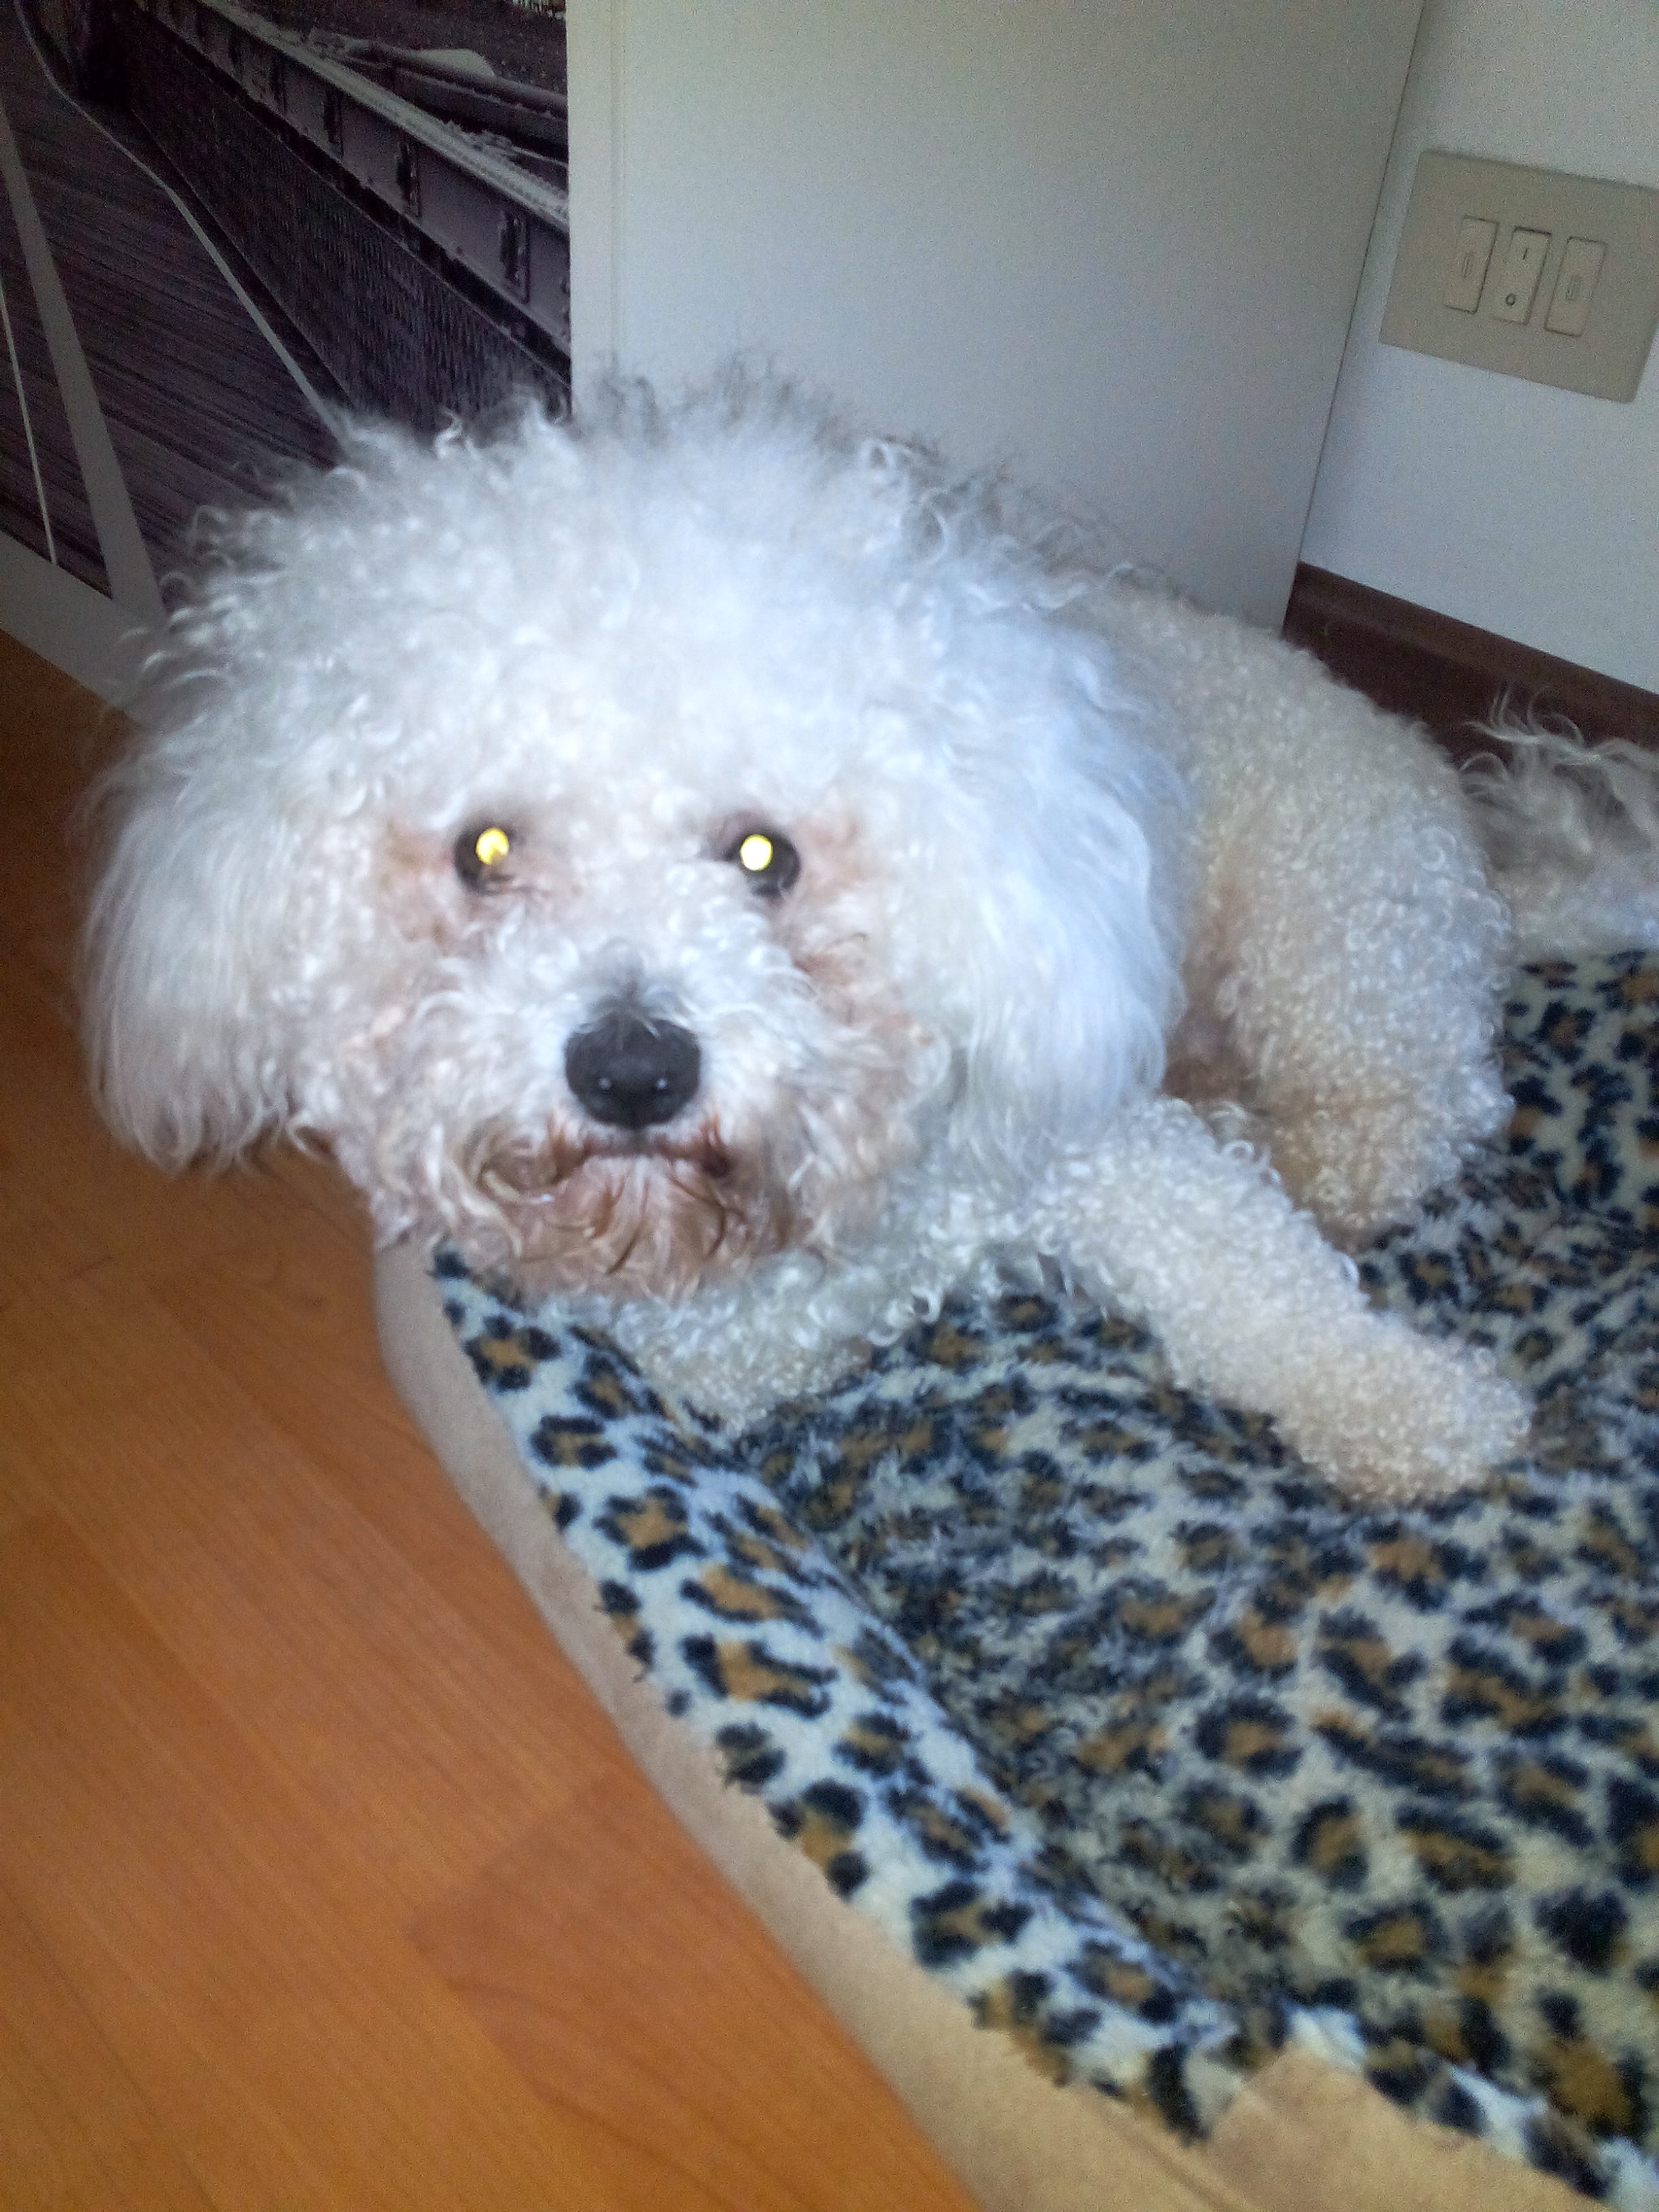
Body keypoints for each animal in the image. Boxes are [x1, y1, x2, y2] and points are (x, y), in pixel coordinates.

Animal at [80, 375, 1659, 1502]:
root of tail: (1462, 827)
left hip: (1330, 931)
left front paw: (1424, 1411)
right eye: (485, 852)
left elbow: (1263, 1290)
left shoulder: (1104, 1142)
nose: (634, 1072)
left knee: (1403, 1121)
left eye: (762, 854)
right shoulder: (716, 1326)